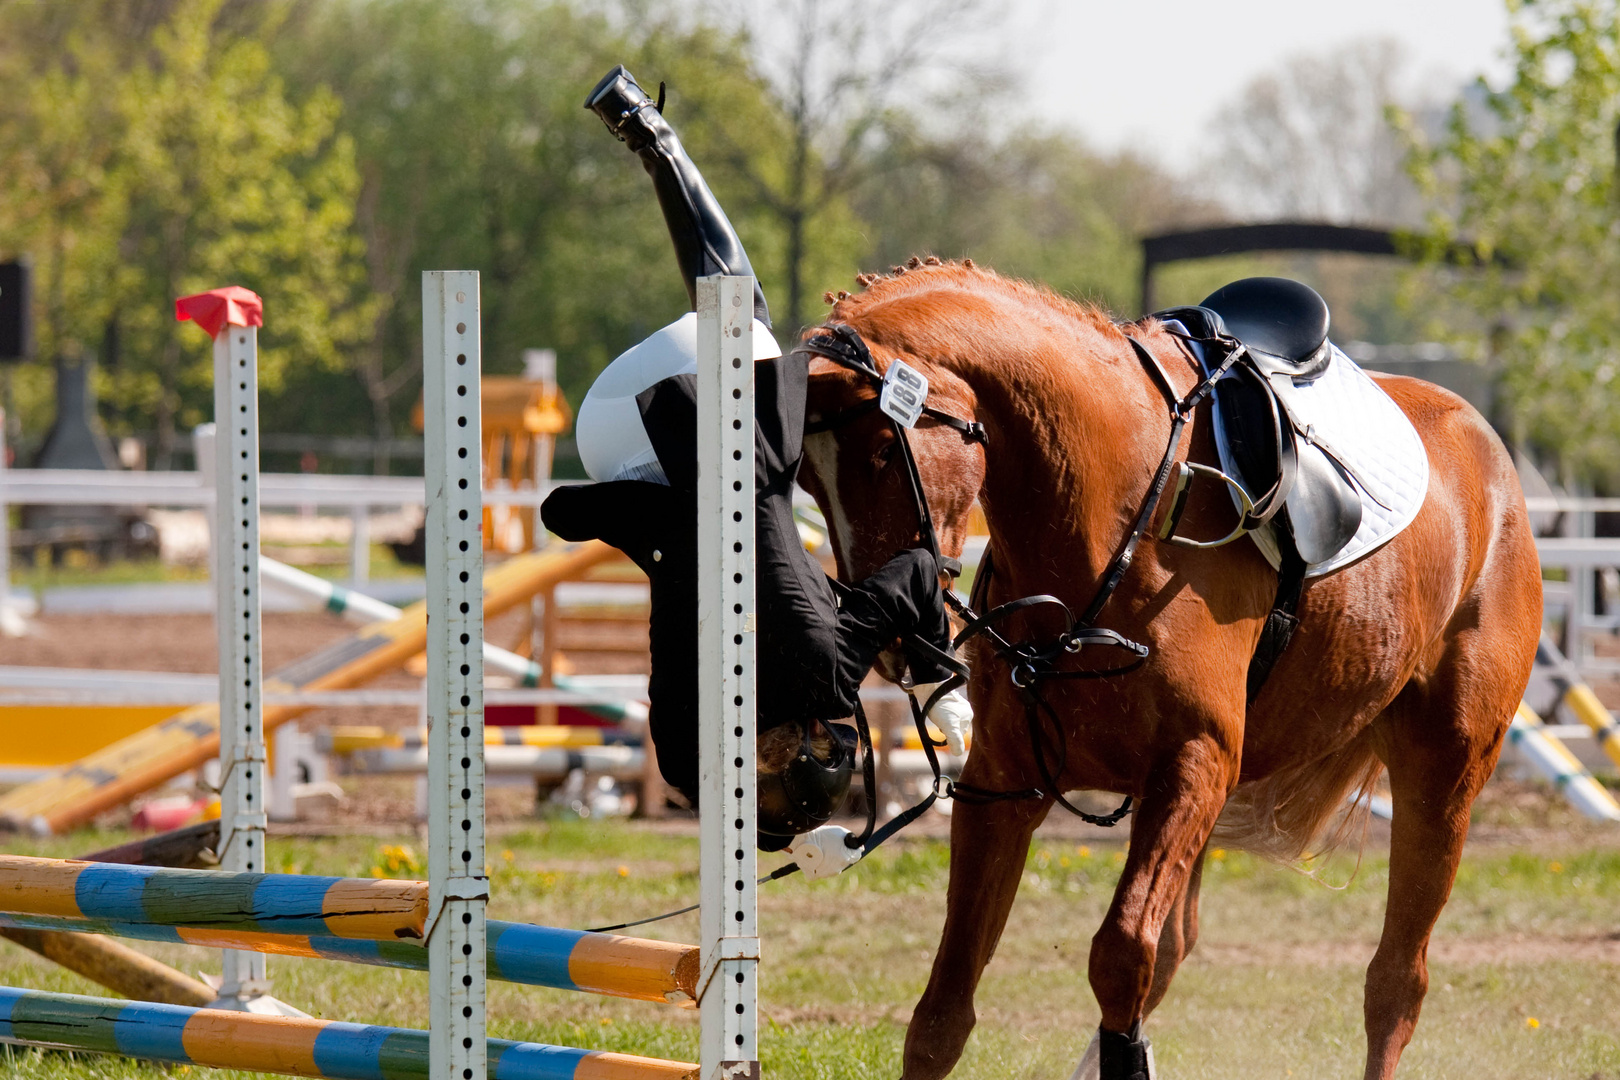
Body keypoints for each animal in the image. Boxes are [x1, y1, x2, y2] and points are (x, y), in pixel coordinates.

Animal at [797, 257, 1542, 1075]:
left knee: (1396, 982)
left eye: (880, 453)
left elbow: (1122, 955)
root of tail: (1490, 453)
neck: (1115, 516)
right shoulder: (1005, 782)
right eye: (806, 481)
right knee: (1183, 948)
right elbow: (943, 1012)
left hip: (1443, 777)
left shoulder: (1193, 765)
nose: (895, 636)